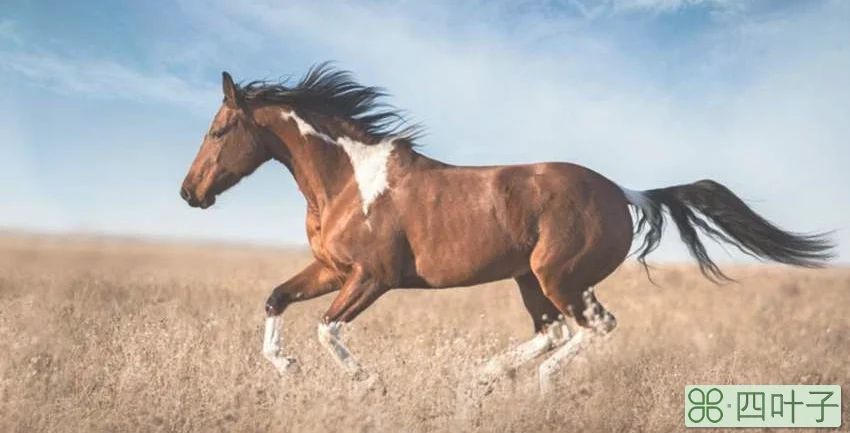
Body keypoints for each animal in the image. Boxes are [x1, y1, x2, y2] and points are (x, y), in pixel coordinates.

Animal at [179, 62, 836, 396]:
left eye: (217, 130)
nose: (190, 193)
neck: (348, 181)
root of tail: (625, 192)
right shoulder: (331, 269)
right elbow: (276, 299)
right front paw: (286, 367)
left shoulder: (372, 276)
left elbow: (326, 328)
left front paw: (367, 383)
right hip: (529, 279)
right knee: (556, 330)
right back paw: (487, 375)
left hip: (557, 276)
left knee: (591, 328)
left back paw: (535, 383)